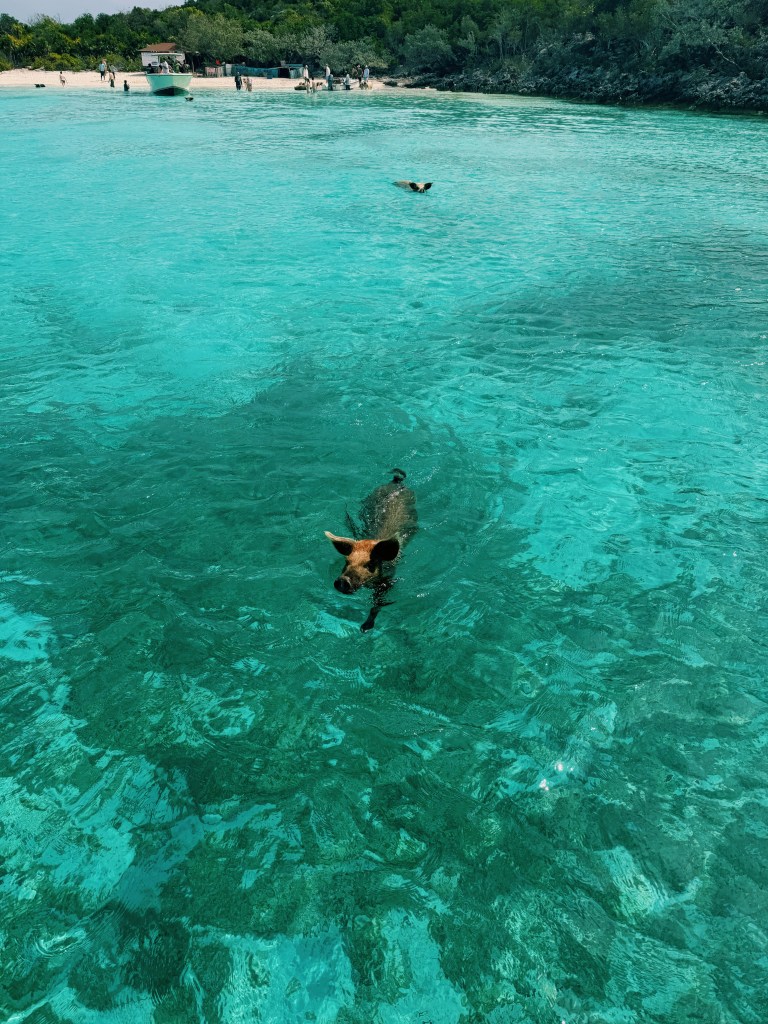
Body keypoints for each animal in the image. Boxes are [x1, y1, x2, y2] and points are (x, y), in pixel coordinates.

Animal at [325, 469, 418, 632]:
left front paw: (364, 628)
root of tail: (396, 482)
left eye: (370, 564)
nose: (343, 580)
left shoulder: (388, 582)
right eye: (346, 561)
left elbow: (377, 605)